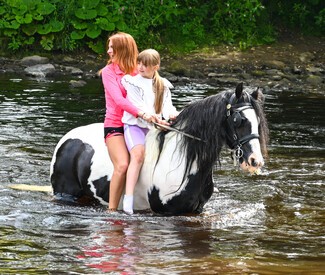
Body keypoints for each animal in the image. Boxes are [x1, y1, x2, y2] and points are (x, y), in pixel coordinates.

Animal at [50, 83, 268, 217]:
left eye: (257, 121)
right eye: (238, 120)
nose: (255, 160)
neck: (183, 163)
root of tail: (67, 140)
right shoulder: (166, 212)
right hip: (66, 194)